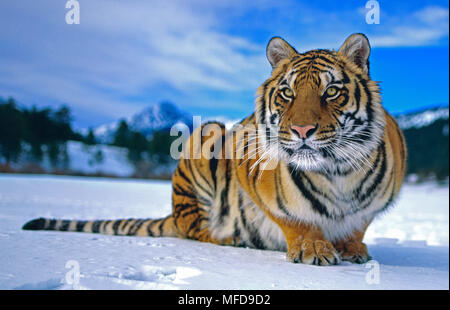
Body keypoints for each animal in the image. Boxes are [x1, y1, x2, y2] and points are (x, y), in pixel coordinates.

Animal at [22, 34, 406, 266]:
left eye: (331, 92)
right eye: (287, 93)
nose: (301, 131)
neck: (338, 171)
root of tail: (173, 212)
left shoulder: (373, 205)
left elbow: (358, 225)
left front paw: (353, 249)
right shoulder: (251, 171)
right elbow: (295, 218)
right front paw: (312, 249)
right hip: (206, 140)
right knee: (196, 229)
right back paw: (230, 239)